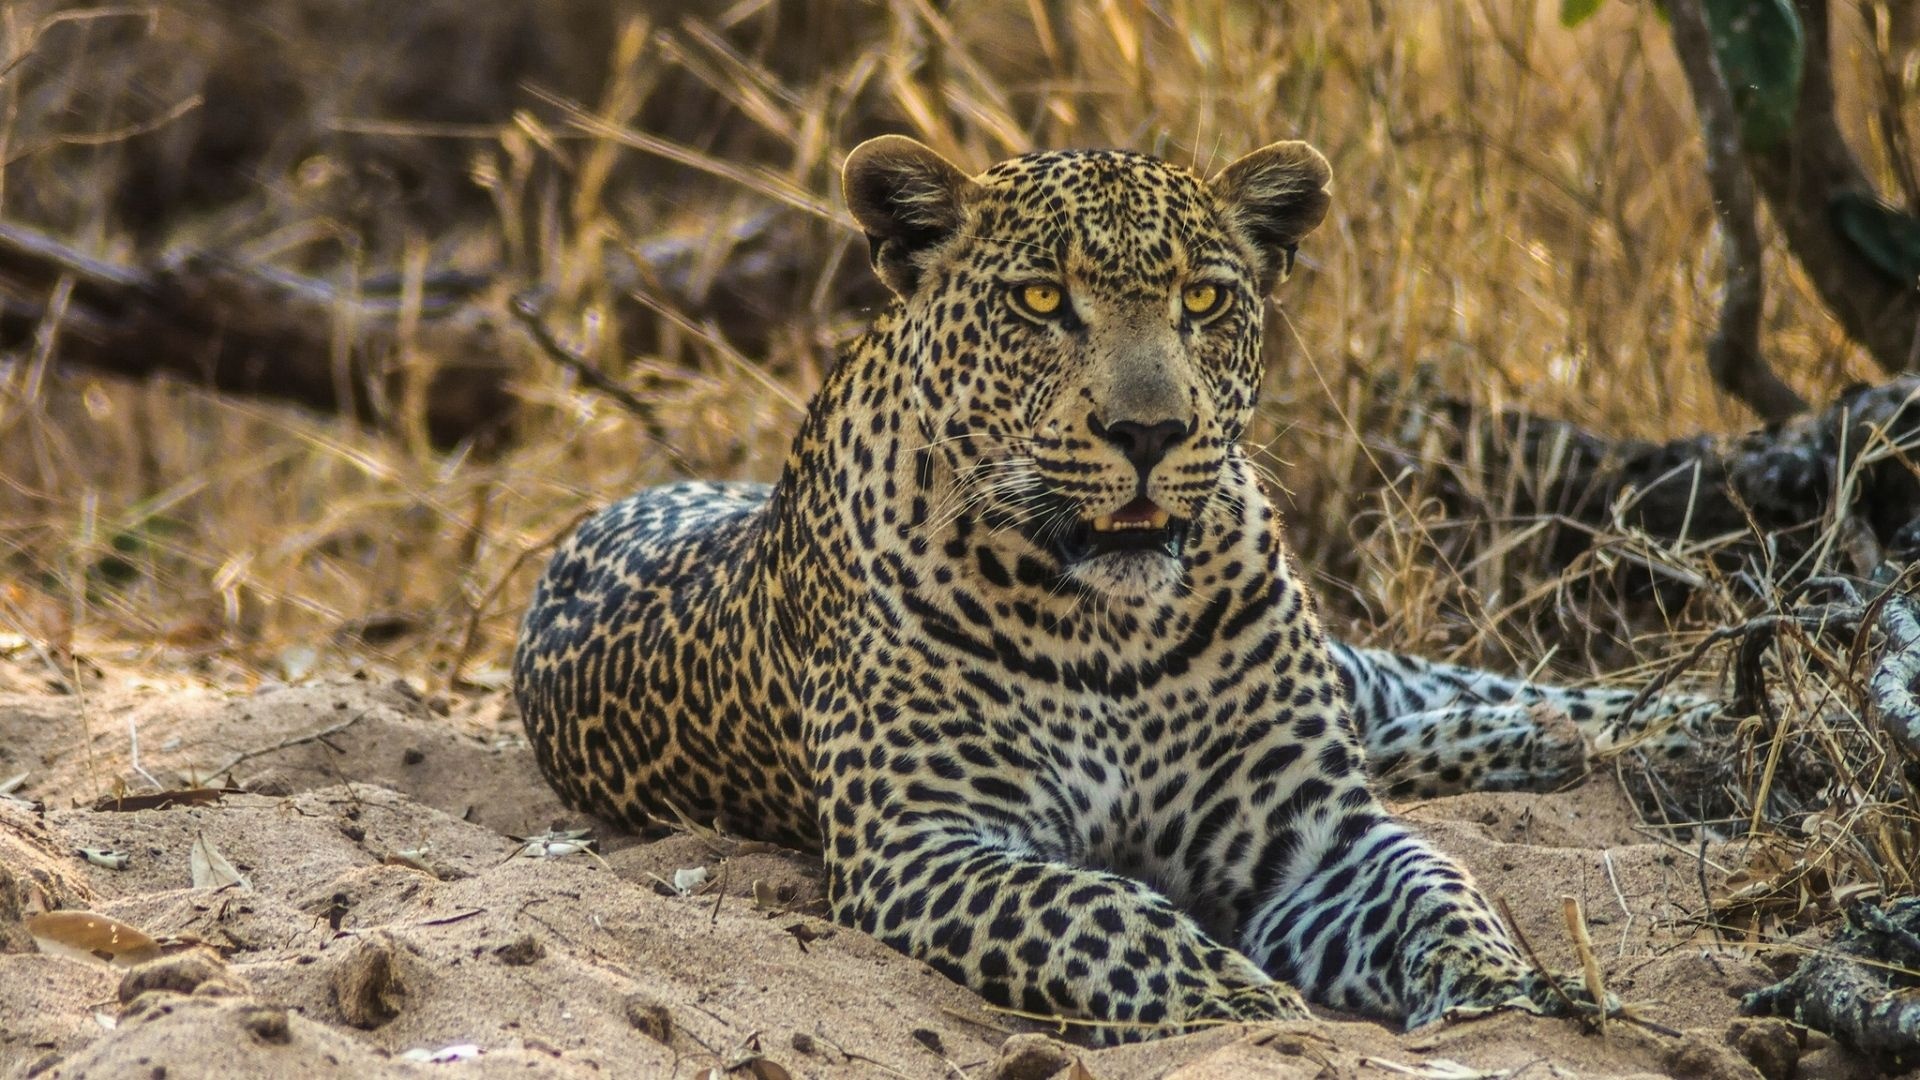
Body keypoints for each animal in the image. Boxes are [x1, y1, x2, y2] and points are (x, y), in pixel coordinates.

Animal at [510, 132, 1712, 1037]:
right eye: (1043, 300)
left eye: (1205, 299)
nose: (1149, 431)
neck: (1110, 627)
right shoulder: (927, 841)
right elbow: (1094, 911)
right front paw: (1241, 1000)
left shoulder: (1315, 832)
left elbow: (1434, 883)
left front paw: (1498, 984)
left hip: (1347, 667)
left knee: (1423, 689)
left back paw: (1665, 721)